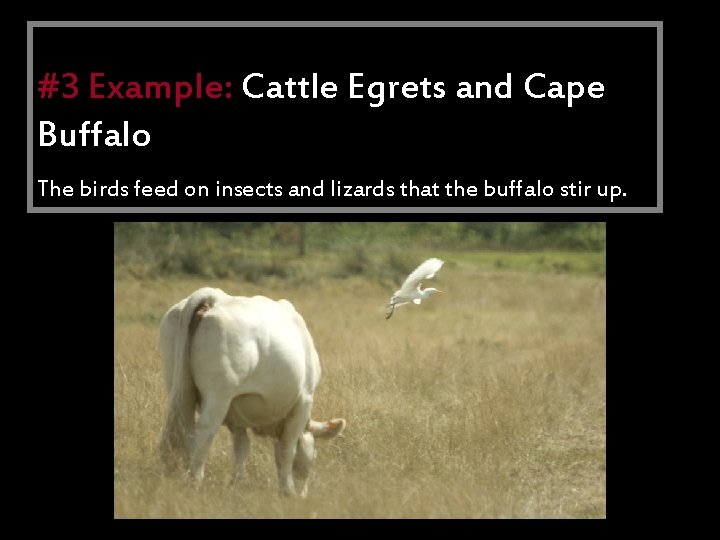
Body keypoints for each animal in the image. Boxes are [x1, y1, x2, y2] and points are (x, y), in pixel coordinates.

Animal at [158, 287, 346, 497]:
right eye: (313, 456)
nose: (303, 493)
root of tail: (216, 297)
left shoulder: (236, 415)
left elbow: (241, 447)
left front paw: (237, 482)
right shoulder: (304, 401)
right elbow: (287, 450)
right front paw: (287, 491)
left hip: (180, 388)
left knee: (185, 429)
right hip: (218, 395)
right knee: (204, 433)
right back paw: (195, 481)